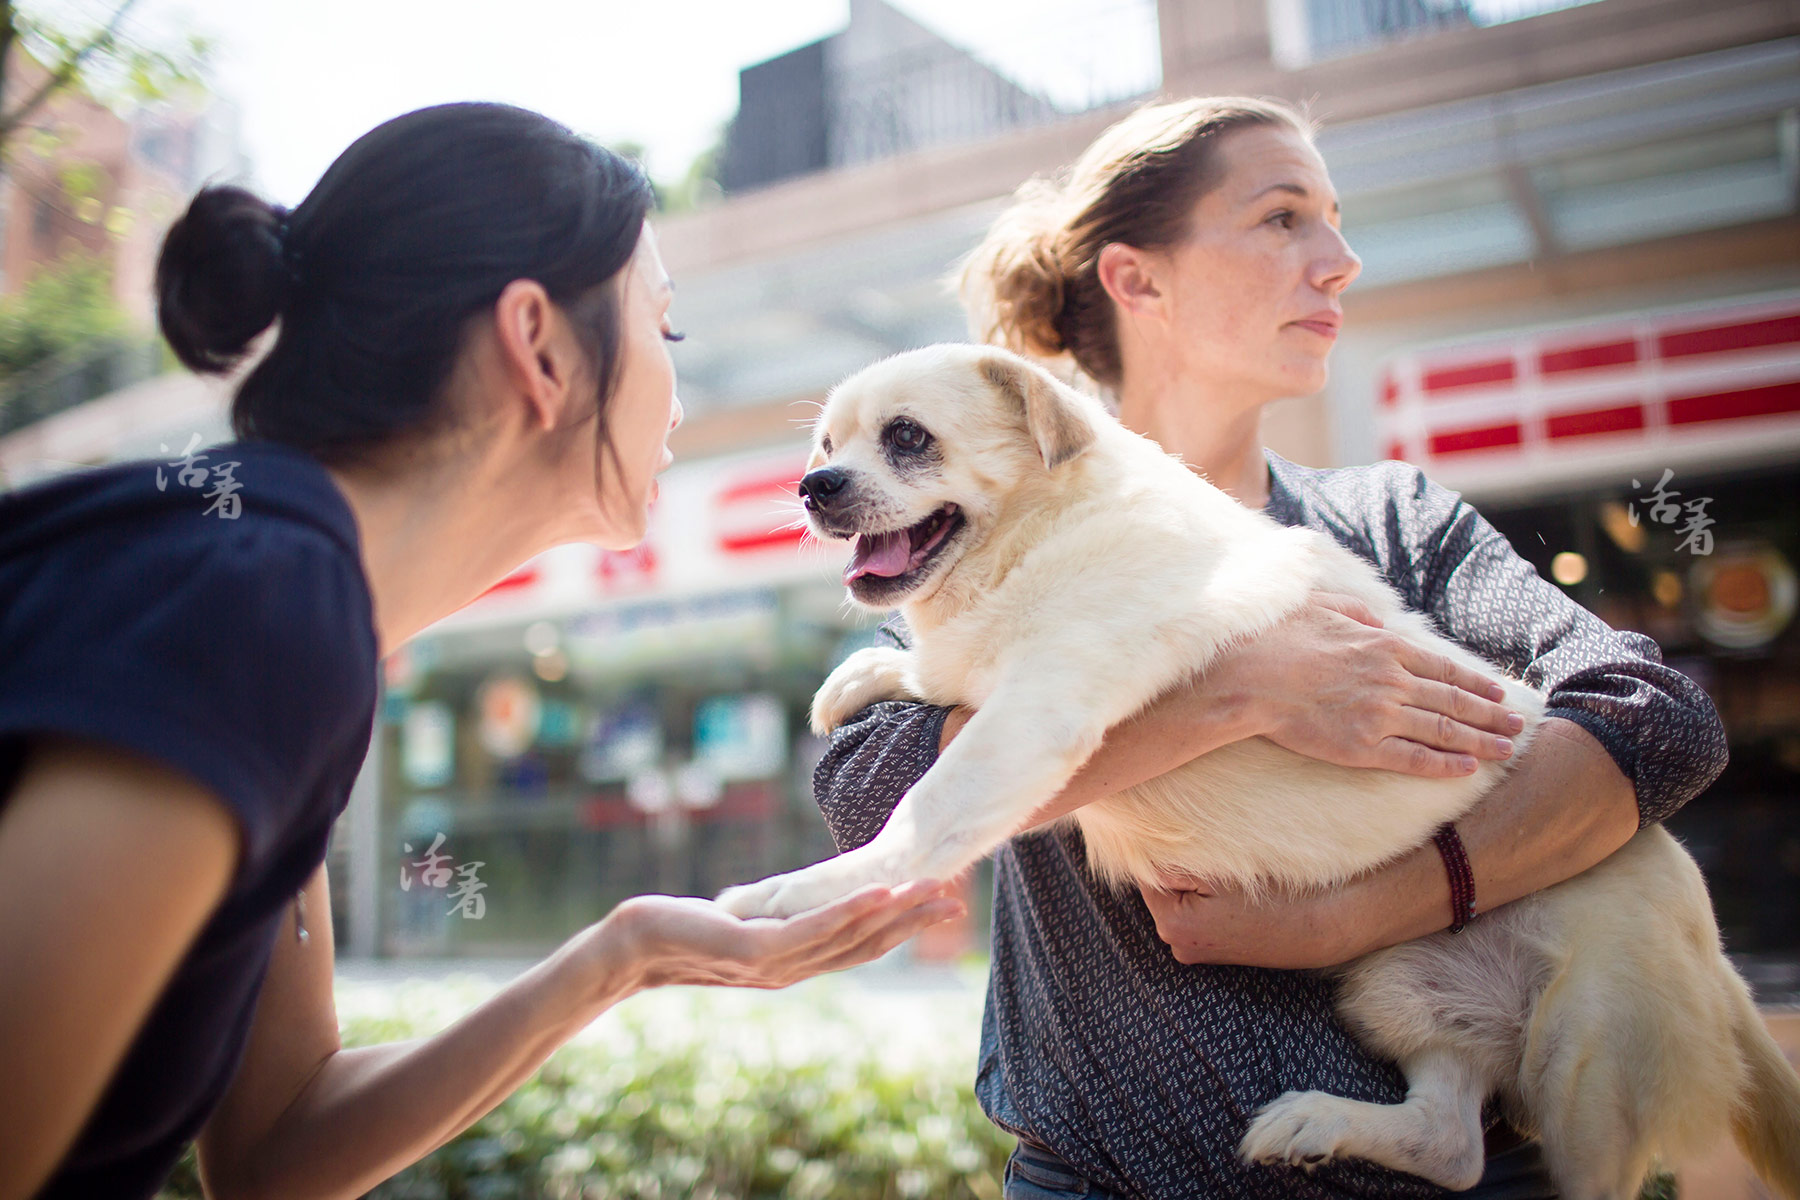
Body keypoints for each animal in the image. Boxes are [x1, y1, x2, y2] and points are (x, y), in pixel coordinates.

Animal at [716, 341, 1800, 1194]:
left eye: (907, 437)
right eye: (824, 449)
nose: (812, 489)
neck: (1039, 536)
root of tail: (1714, 949)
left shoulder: (1035, 717)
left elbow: (923, 816)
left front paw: (803, 891)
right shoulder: (990, 687)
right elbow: (927, 678)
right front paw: (863, 674)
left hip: (1586, 1080)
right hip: (1398, 987)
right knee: (1450, 1142)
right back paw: (1320, 1122)